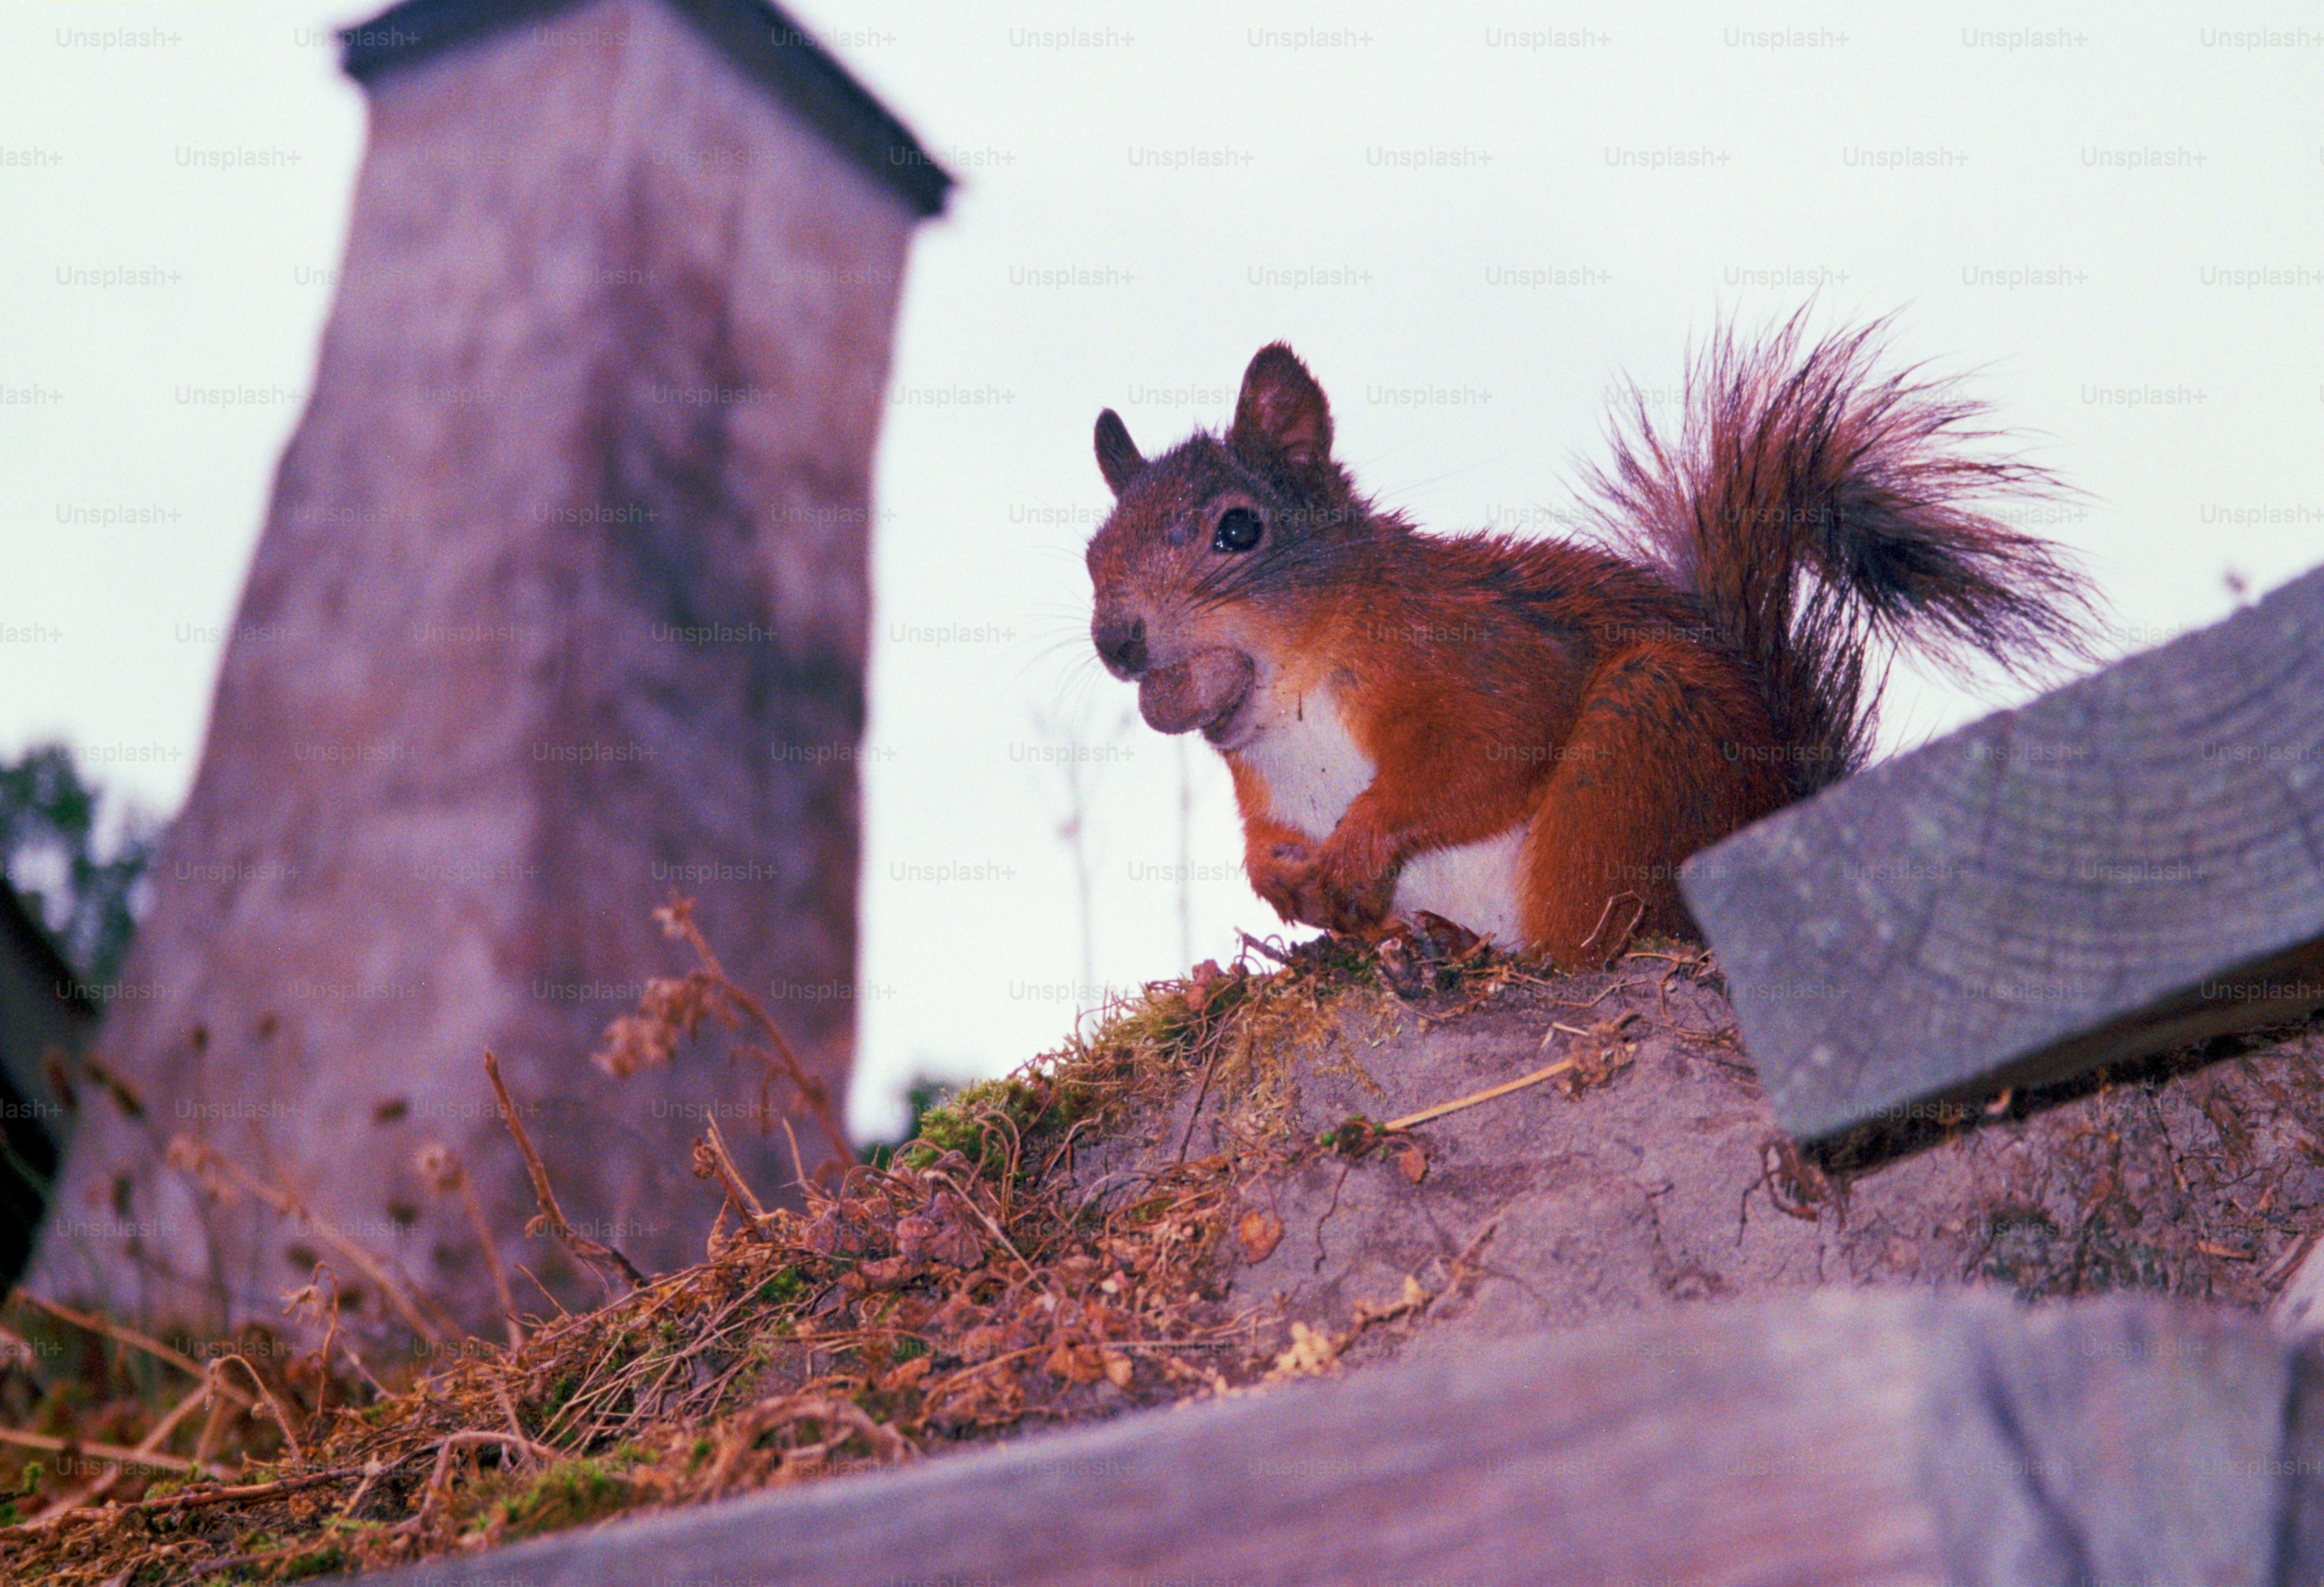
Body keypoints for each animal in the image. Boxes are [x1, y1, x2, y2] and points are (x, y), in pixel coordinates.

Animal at [1084, 319, 2101, 968]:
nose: (1115, 642)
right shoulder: (1265, 791)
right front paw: (1283, 885)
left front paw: (1355, 847)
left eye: (1236, 530)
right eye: (1092, 554)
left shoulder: (1478, 656)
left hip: (1639, 749)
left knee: (1581, 944)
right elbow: (1264, 844)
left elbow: (1478, 755)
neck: (1290, 701)